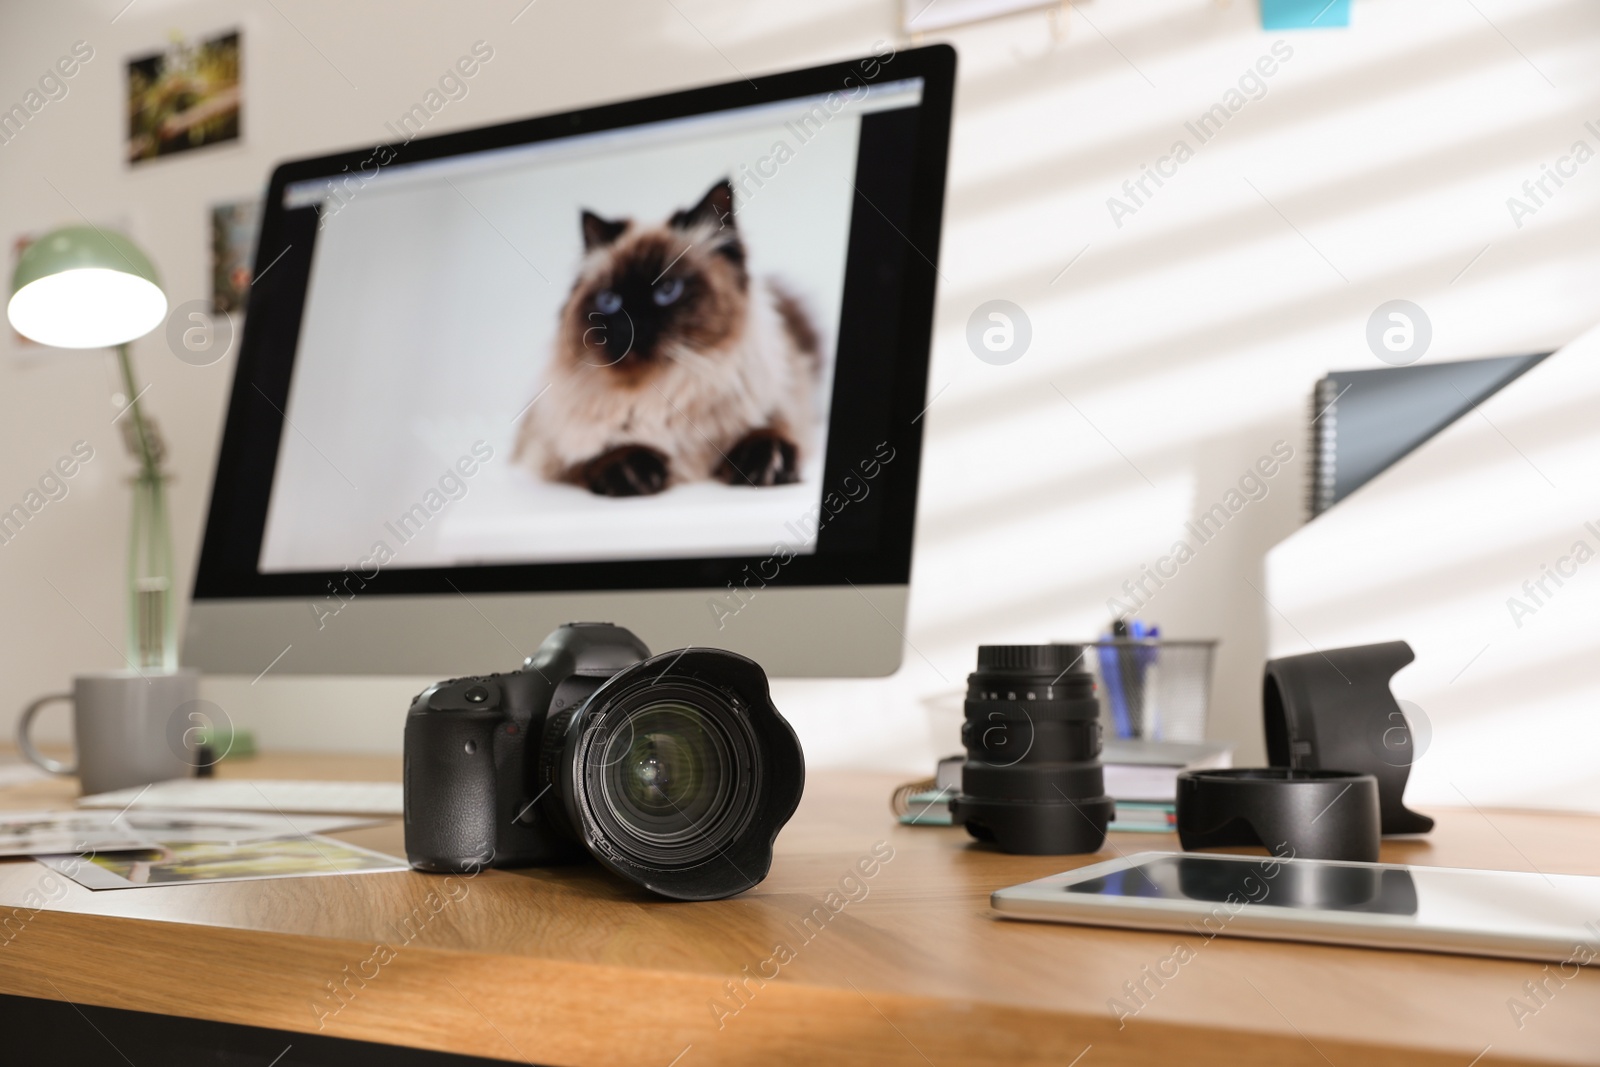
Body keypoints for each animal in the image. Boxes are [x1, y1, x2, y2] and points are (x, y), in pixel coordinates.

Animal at [512, 181, 819, 499]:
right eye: (609, 300)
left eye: (668, 290)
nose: (631, 324)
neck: (663, 390)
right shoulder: (548, 448)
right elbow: (594, 455)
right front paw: (635, 472)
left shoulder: (777, 411)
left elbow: (766, 432)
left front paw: (768, 464)